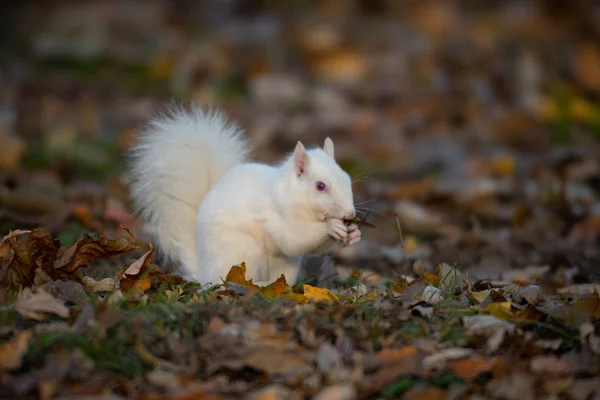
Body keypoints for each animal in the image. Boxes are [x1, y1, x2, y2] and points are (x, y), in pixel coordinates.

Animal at [127, 103, 360, 284]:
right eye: (320, 186)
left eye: (347, 179)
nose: (350, 215)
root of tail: (204, 271)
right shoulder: (274, 215)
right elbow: (294, 238)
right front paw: (332, 226)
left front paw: (354, 233)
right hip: (243, 252)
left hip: (286, 265)